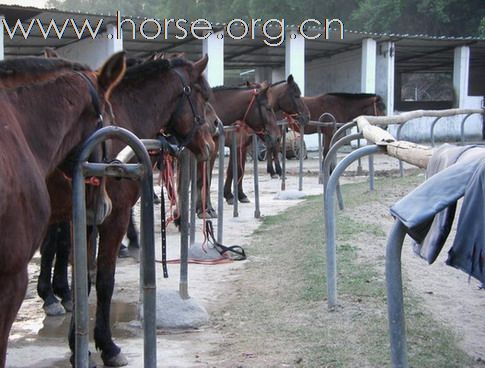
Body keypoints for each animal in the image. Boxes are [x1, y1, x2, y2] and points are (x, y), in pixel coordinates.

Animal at [40, 53, 216, 366]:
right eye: (204, 95)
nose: (210, 143)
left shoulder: (87, 219)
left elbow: (85, 279)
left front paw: (78, 346)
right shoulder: (114, 217)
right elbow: (103, 281)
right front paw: (108, 347)